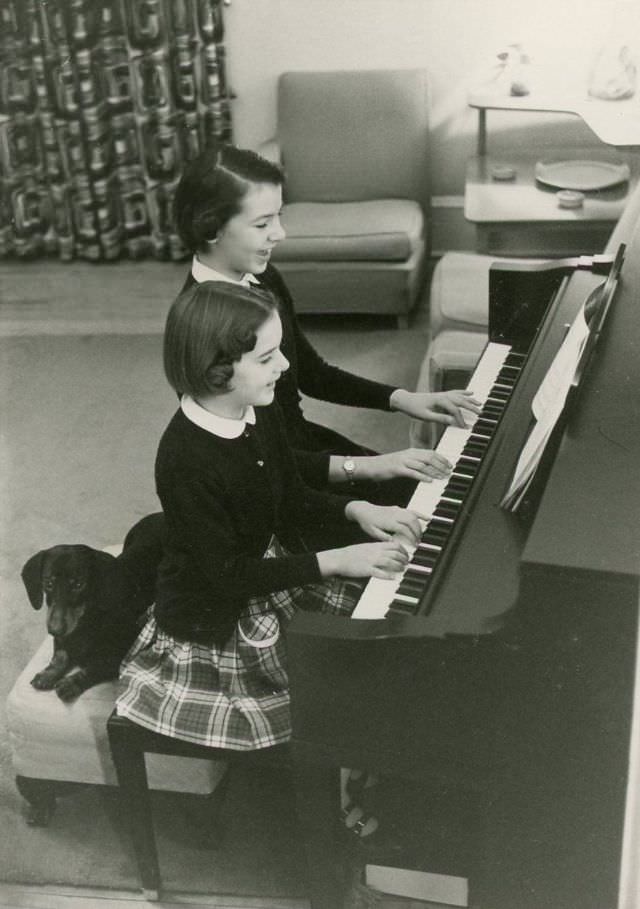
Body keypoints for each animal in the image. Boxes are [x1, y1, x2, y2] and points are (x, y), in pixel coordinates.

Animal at [23, 516, 165, 700]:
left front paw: (71, 683)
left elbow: (95, 668)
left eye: (78, 584)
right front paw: (48, 674)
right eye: (49, 583)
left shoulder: (119, 657)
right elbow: (61, 656)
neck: (86, 621)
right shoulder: (63, 639)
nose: (54, 630)